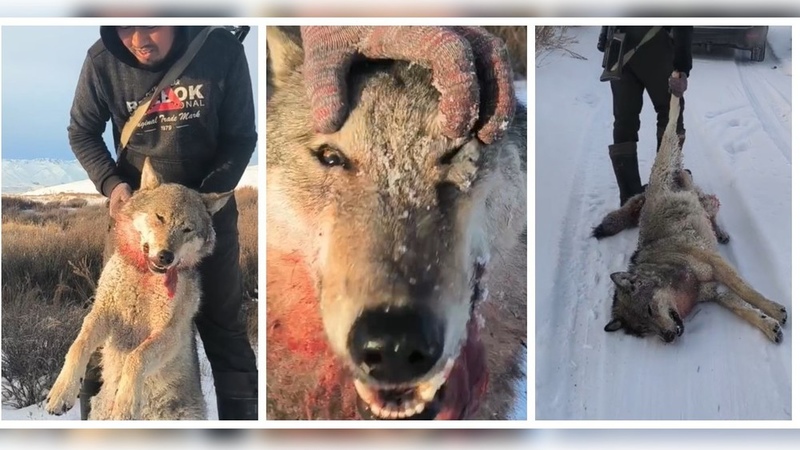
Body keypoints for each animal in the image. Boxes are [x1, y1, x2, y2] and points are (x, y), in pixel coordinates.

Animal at [45, 157, 232, 420]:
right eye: (160, 217)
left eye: (187, 229)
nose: (166, 256)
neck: (144, 277)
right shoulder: (102, 313)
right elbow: (78, 346)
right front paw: (61, 393)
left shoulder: (168, 332)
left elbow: (136, 358)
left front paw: (125, 405)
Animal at [602, 79, 788, 343]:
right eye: (644, 330)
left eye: (649, 310)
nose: (669, 337)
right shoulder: (716, 292)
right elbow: (744, 308)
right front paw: (769, 326)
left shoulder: (718, 265)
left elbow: (749, 293)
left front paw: (774, 308)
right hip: (698, 197)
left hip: (669, 148)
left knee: (672, 119)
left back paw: (675, 86)